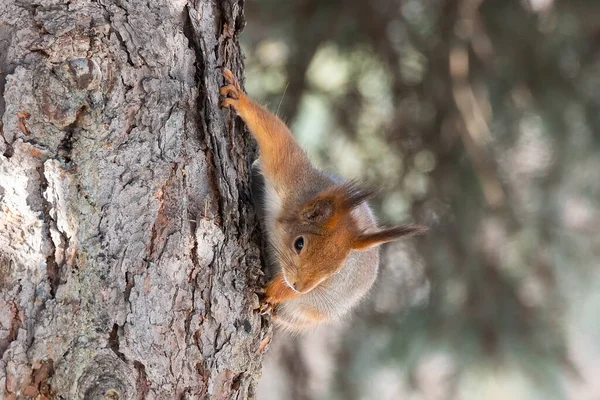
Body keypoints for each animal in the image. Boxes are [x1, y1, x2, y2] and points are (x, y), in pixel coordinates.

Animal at [219, 68, 426, 332]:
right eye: (299, 244)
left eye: (334, 272)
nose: (299, 286)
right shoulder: (292, 178)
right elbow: (278, 139)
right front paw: (239, 99)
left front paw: (274, 293)